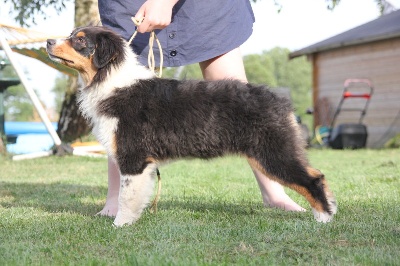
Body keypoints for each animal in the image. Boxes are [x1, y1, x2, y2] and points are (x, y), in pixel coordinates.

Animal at [45, 26, 336, 227]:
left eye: (80, 40)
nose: (48, 41)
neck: (109, 79)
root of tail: (281, 100)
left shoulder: (133, 156)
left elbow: (127, 195)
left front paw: (120, 225)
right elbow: (135, 194)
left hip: (273, 152)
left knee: (312, 178)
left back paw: (324, 218)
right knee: (316, 173)